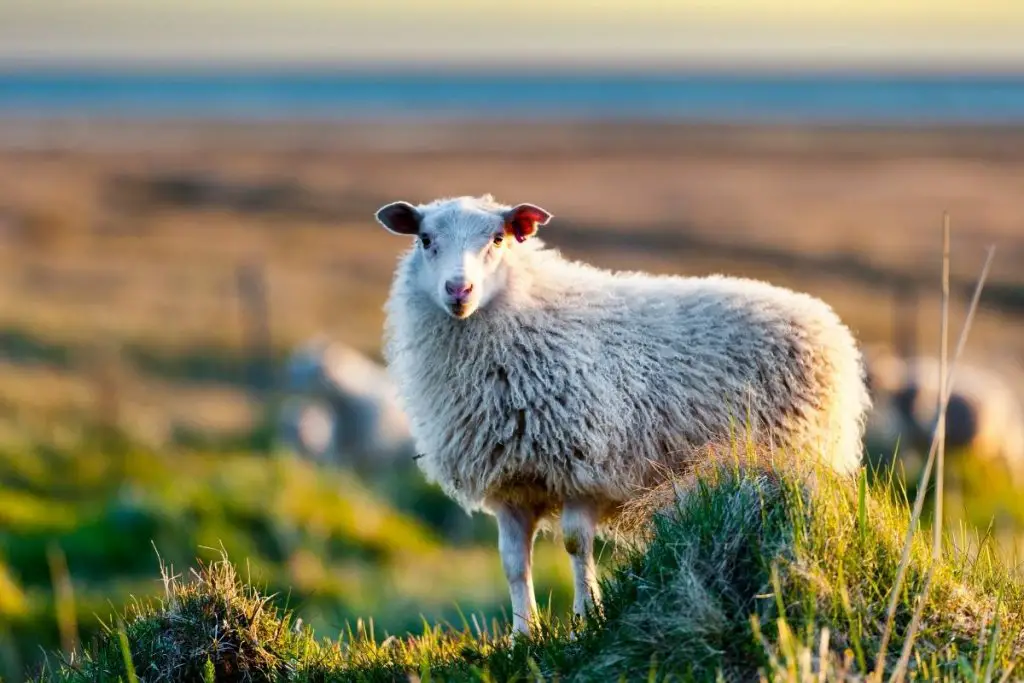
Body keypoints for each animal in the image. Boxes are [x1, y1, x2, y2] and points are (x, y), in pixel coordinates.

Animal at [376, 192, 872, 634]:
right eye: (425, 239)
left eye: (498, 238)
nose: (458, 289)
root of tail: (825, 318)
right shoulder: (511, 483)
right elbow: (514, 564)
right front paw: (522, 635)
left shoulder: (582, 465)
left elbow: (576, 546)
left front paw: (585, 620)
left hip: (798, 454)